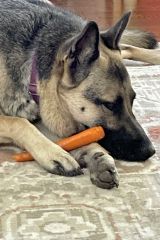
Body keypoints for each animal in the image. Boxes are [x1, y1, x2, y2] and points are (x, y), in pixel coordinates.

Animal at [0, 0, 160, 188]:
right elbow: (20, 122)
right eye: (109, 105)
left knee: (126, 47)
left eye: (133, 99)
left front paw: (97, 155)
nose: (150, 151)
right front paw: (55, 153)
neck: (32, 71)